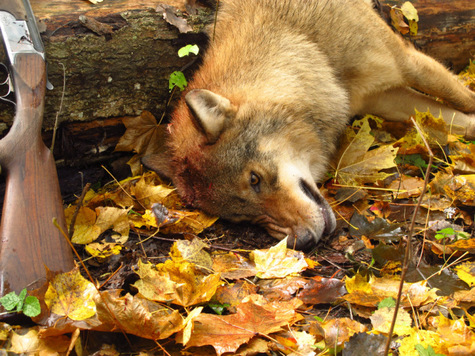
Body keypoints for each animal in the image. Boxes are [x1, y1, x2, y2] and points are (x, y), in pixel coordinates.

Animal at [149, 0, 475, 249]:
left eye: (254, 179)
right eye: (244, 216)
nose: (304, 241)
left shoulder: (407, 62)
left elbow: (466, 102)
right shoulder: (381, 98)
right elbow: (458, 121)